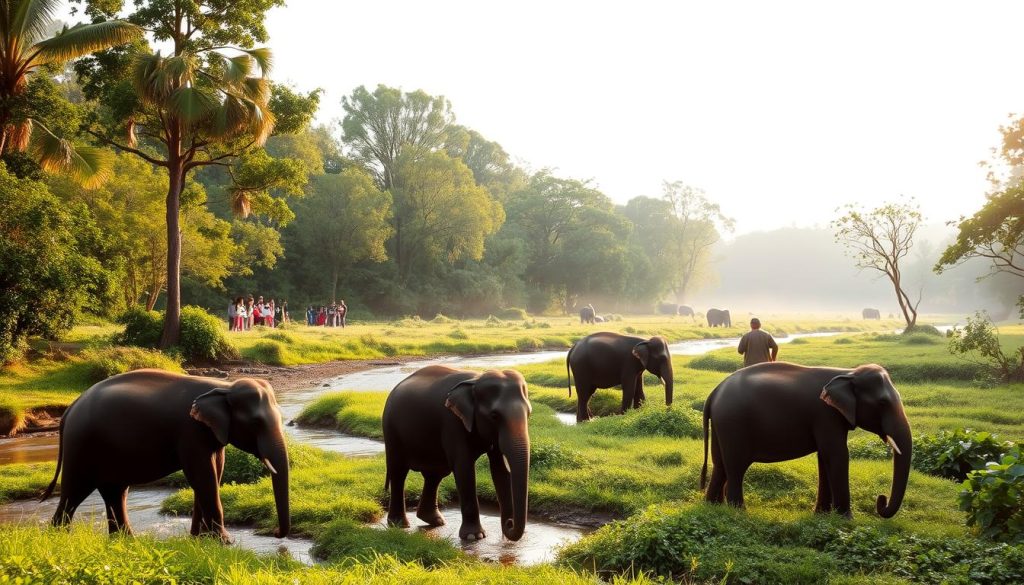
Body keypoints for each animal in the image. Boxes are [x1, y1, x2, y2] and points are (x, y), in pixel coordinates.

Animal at [40, 369, 290, 542]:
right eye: (256, 423)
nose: (276, 532)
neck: (223, 386)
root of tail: (68, 411)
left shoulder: (210, 434)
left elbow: (214, 473)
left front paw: (200, 540)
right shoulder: (190, 432)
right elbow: (203, 475)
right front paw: (224, 542)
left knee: (114, 492)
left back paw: (125, 541)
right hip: (81, 446)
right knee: (74, 491)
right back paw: (59, 538)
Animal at [382, 365, 532, 541]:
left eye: (529, 413)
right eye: (494, 416)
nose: (509, 523)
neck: (476, 380)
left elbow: (501, 469)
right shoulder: (452, 422)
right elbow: (464, 468)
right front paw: (474, 536)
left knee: (435, 475)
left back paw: (435, 520)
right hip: (391, 431)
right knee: (398, 472)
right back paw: (399, 524)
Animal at [700, 362, 911, 518]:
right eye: (883, 403)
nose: (881, 499)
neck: (847, 372)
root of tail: (714, 392)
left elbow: (825, 457)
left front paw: (822, 516)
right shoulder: (826, 415)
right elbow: (837, 454)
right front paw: (846, 520)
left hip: (722, 424)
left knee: (720, 465)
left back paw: (712, 506)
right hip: (733, 423)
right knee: (736, 467)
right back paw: (739, 513)